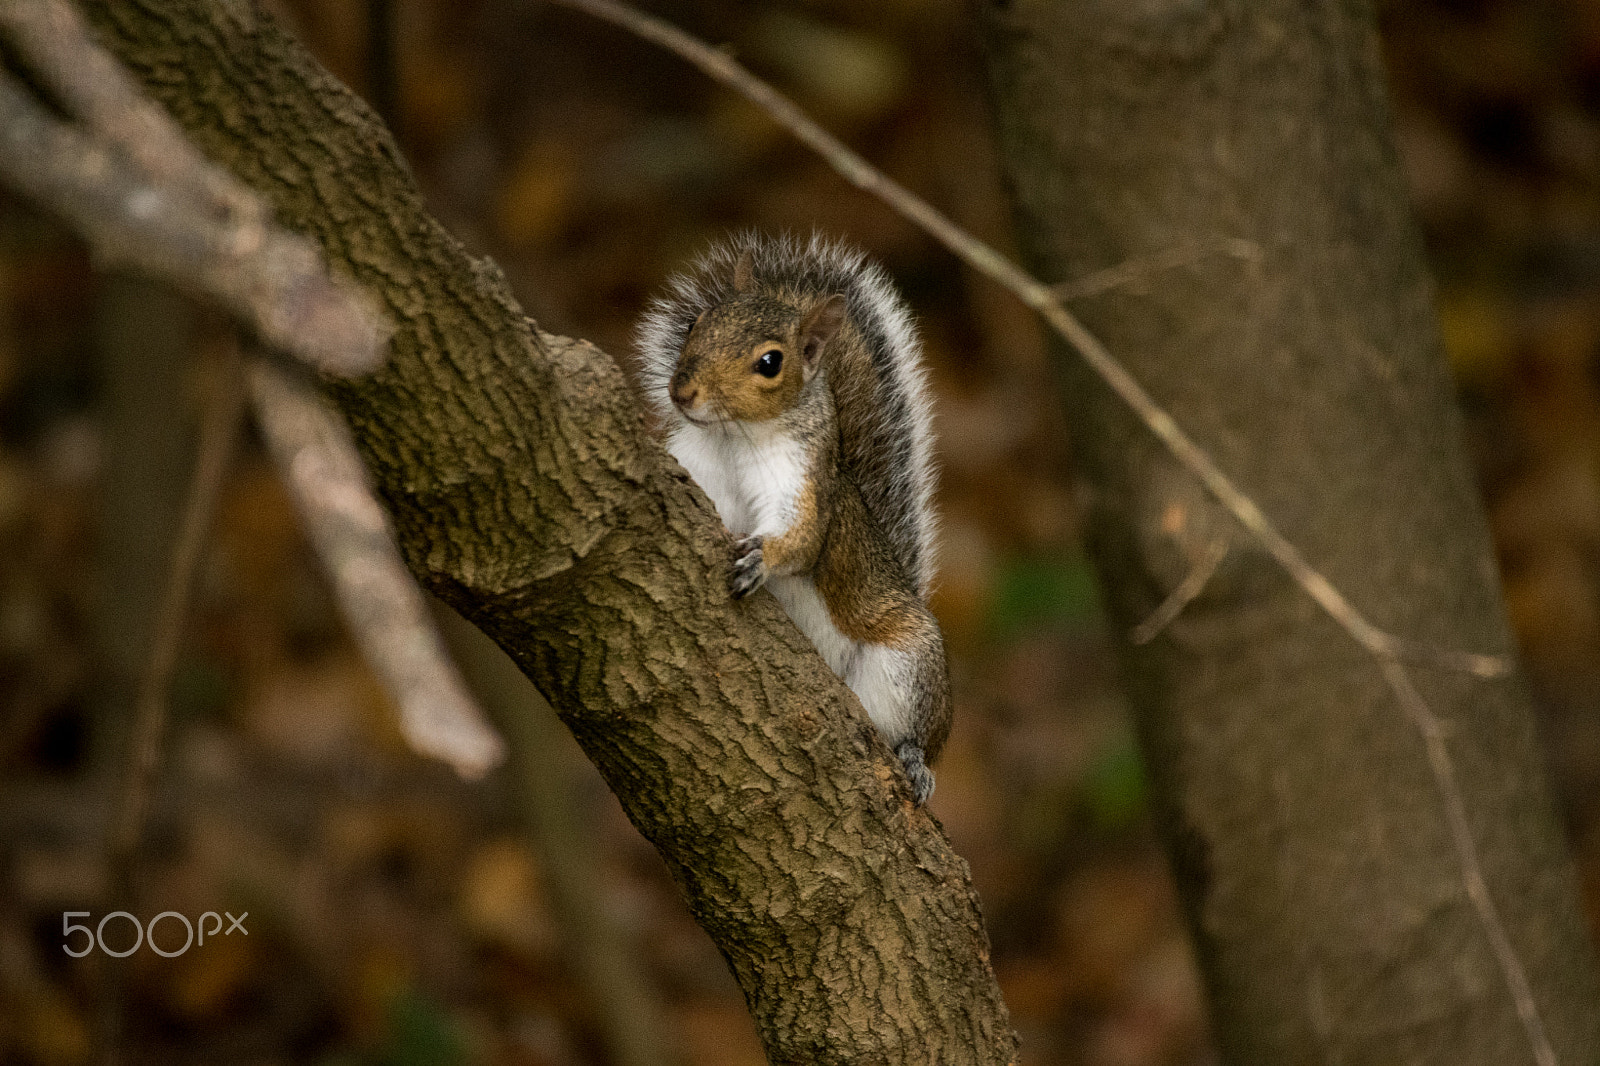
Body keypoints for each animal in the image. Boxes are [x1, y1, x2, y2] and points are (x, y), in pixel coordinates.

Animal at [633, 230, 947, 797]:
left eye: (770, 363)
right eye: (695, 324)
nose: (682, 392)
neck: (733, 439)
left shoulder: (803, 482)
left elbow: (800, 540)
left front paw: (761, 559)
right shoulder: (691, 465)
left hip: (906, 666)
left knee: (914, 733)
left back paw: (915, 760)